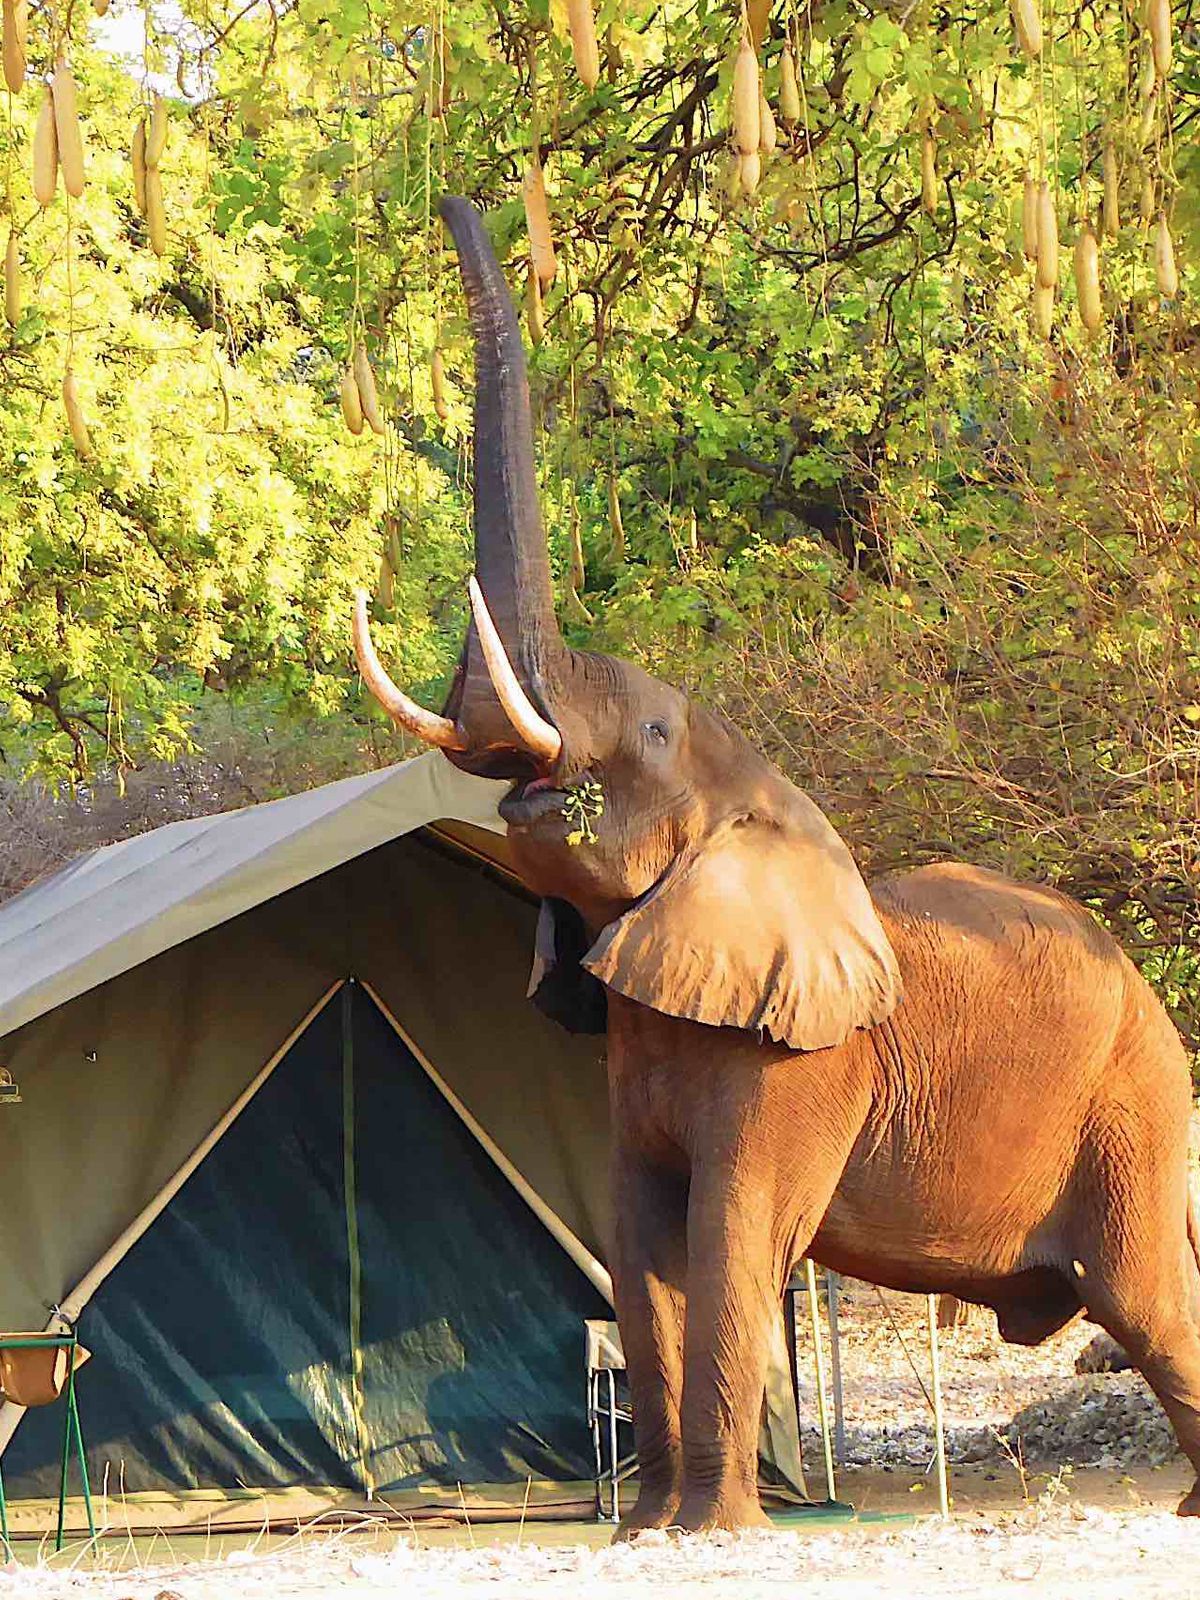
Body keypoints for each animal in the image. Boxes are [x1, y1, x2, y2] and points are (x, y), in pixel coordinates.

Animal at [352, 196, 1200, 1535]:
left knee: (1150, 1300)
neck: (761, 799)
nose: (452, 196)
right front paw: (647, 1530)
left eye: (652, 733)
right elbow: (637, 1238)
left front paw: (710, 1529)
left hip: (1135, 1107)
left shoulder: (804, 1061)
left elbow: (731, 1235)